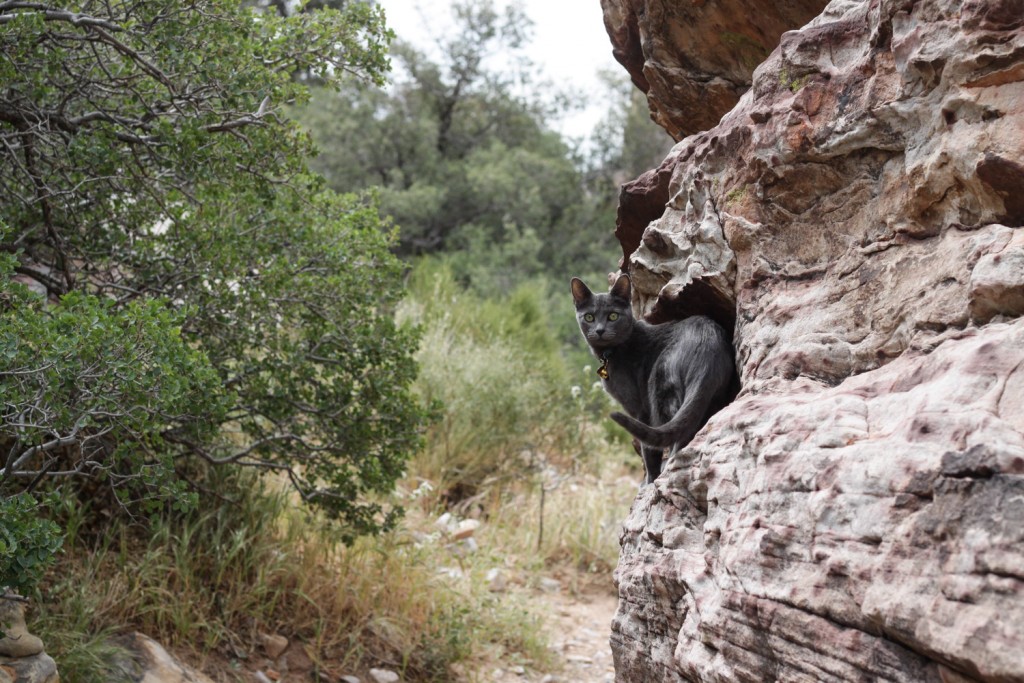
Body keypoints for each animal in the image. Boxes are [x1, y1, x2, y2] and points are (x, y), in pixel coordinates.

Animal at [569, 274, 737, 485]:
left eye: (613, 316)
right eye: (589, 317)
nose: (599, 330)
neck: (612, 353)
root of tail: (708, 348)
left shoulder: (641, 409)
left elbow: (648, 450)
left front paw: (650, 479)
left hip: (660, 387)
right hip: (712, 396)